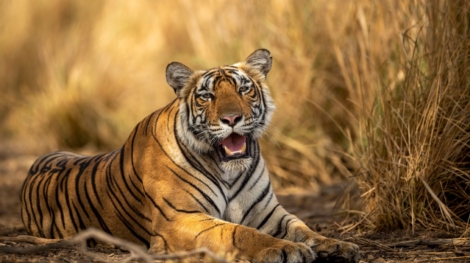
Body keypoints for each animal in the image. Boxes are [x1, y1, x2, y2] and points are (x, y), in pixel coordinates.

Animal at [20, 50, 360, 263]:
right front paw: (287, 249)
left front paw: (339, 245)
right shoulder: (180, 218)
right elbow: (239, 231)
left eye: (244, 90)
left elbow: (302, 227)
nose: (232, 118)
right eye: (207, 95)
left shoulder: (268, 212)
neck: (228, 169)